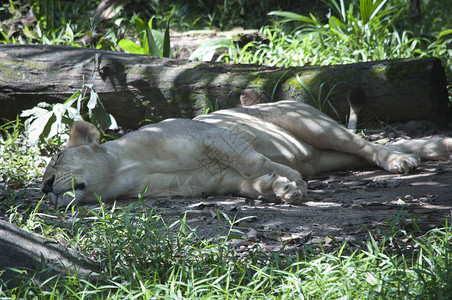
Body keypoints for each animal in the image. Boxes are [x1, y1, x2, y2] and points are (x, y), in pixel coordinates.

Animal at [40, 101, 450, 206]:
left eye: (56, 161)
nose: (44, 189)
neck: (128, 169)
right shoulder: (218, 182)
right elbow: (253, 181)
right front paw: (283, 188)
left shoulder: (213, 135)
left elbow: (253, 160)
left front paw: (293, 181)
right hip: (328, 154)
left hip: (312, 124)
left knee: (369, 145)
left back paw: (398, 161)